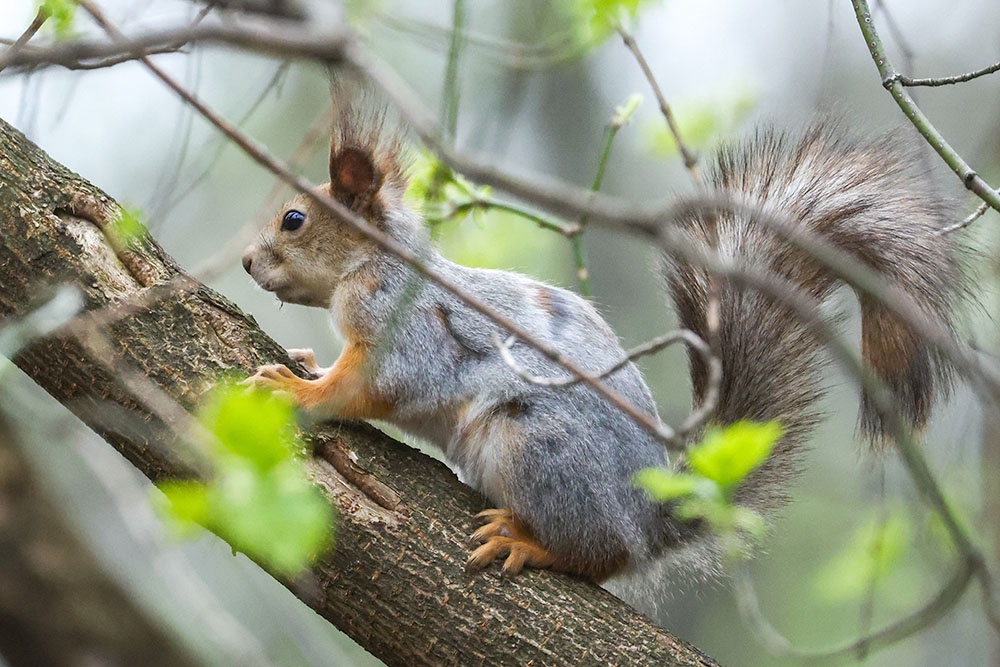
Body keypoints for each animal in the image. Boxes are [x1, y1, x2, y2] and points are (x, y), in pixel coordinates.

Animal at [242, 111, 963, 582]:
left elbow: (374, 384)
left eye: (294, 219)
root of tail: (650, 520)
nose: (247, 262)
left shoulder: (409, 328)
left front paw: (301, 390)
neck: (376, 262)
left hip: (536, 448)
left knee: (600, 557)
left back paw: (529, 542)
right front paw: (309, 362)